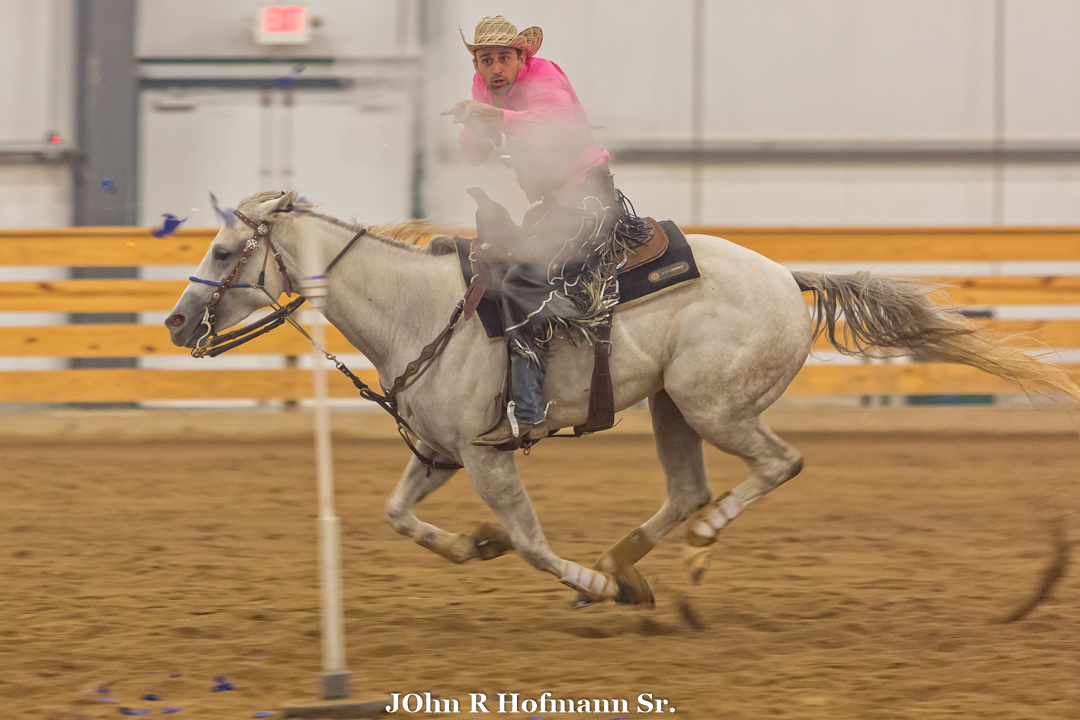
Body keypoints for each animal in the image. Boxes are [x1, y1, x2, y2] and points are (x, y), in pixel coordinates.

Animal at [164, 191, 1075, 608]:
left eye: (225, 249)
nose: (174, 322)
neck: (419, 309)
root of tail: (789, 276)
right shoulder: (442, 454)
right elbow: (397, 515)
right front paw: (477, 548)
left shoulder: (490, 460)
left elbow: (531, 543)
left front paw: (574, 580)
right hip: (673, 407)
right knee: (688, 489)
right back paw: (620, 565)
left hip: (716, 407)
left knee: (774, 466)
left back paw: (666, 561)